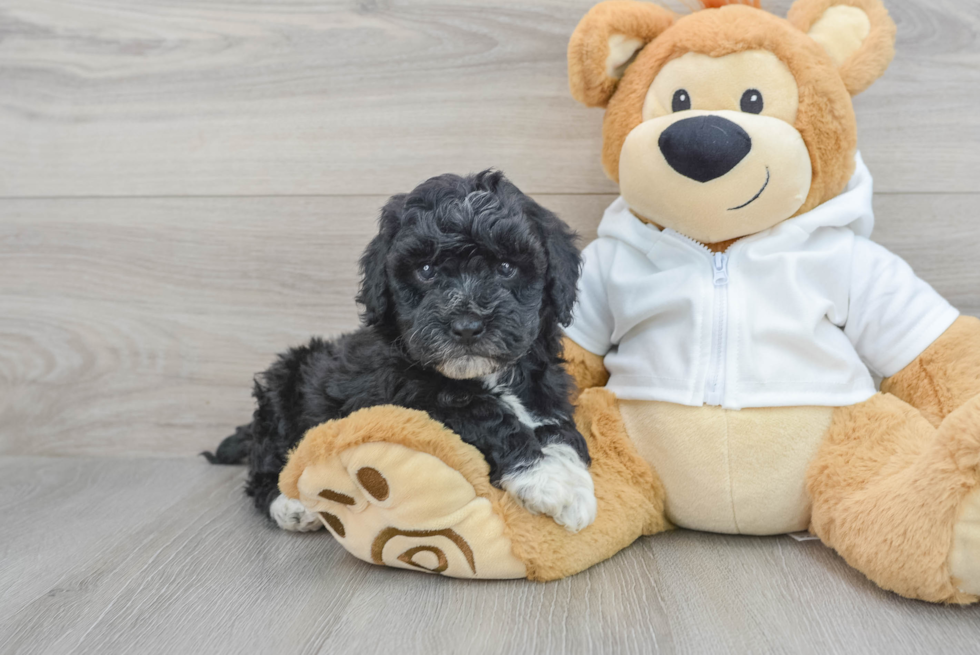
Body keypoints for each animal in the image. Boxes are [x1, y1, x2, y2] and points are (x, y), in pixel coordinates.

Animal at [205, 173, 596, 532]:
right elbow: (487, 415)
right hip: (280, 398)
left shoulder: (545, 390)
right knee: (264, 470)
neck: (487, 374)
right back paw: (290, 506)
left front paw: (571, 479)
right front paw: (547, 478)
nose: (467, 326)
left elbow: (558, 428)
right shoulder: (410, 397)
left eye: (506, 267)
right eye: (425, 270)